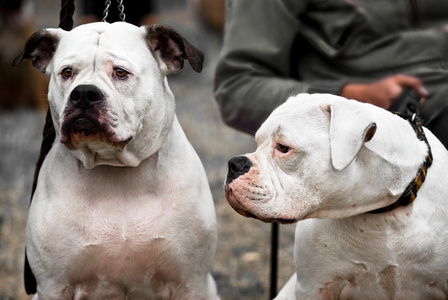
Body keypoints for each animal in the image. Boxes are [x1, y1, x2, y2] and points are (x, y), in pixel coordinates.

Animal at [14, 21, 217, 300]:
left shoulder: (190, 283)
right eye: (67, 73)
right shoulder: (54, 286)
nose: (84, 93)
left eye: (120, 73)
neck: (115, 168)